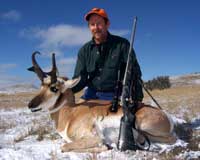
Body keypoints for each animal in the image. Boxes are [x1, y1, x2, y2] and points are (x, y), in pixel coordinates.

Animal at [27, 51, 176, 152]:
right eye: (41, 86)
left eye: (54, 88)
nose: (30, 105)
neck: (71, 113)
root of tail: (166, 115)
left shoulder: (94, 138)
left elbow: (65, 146)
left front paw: (107, 146)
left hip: (144, 126)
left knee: (171, 138)